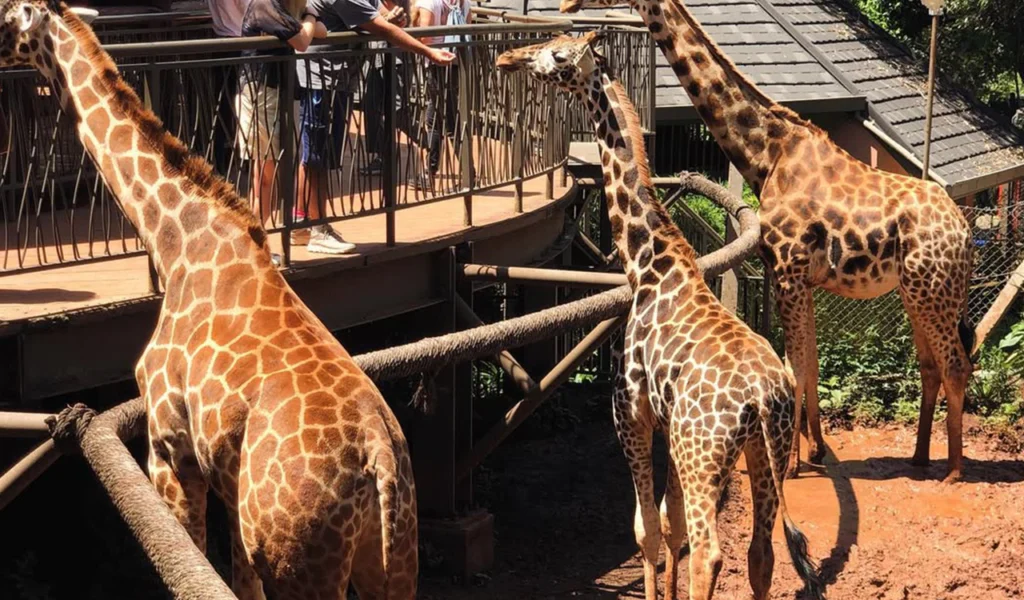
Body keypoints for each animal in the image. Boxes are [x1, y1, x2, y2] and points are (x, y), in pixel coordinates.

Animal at [0, 3, 418, 598]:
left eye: (7, 17)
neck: (175, 240)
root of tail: (381, 464)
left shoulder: (169, 447)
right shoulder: (228, 484)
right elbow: (238, 582)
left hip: (300, 562)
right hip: (391, 558)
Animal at [497, 32, 823, 600]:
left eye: (558, 55)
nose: (507, 56)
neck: (650, 265)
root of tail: (763, 398)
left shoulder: (631, 412)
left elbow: (646, 529)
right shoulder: (668, 427)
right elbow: (671, 528)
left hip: (704, 454)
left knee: (711, 553)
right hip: (766, 452)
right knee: (760, 553)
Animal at [561, 0, 975, 483]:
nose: (566, 6)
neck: (768, 153)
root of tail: (966, 232)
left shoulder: (787, 267)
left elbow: (796, 364)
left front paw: (792, 464)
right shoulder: (802, 277)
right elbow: (810, 362)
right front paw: (814, 451)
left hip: (934, 291)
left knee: (955, 364)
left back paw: (953, 471)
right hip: (918, 292)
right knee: (930, 366)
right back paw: (919, 457)